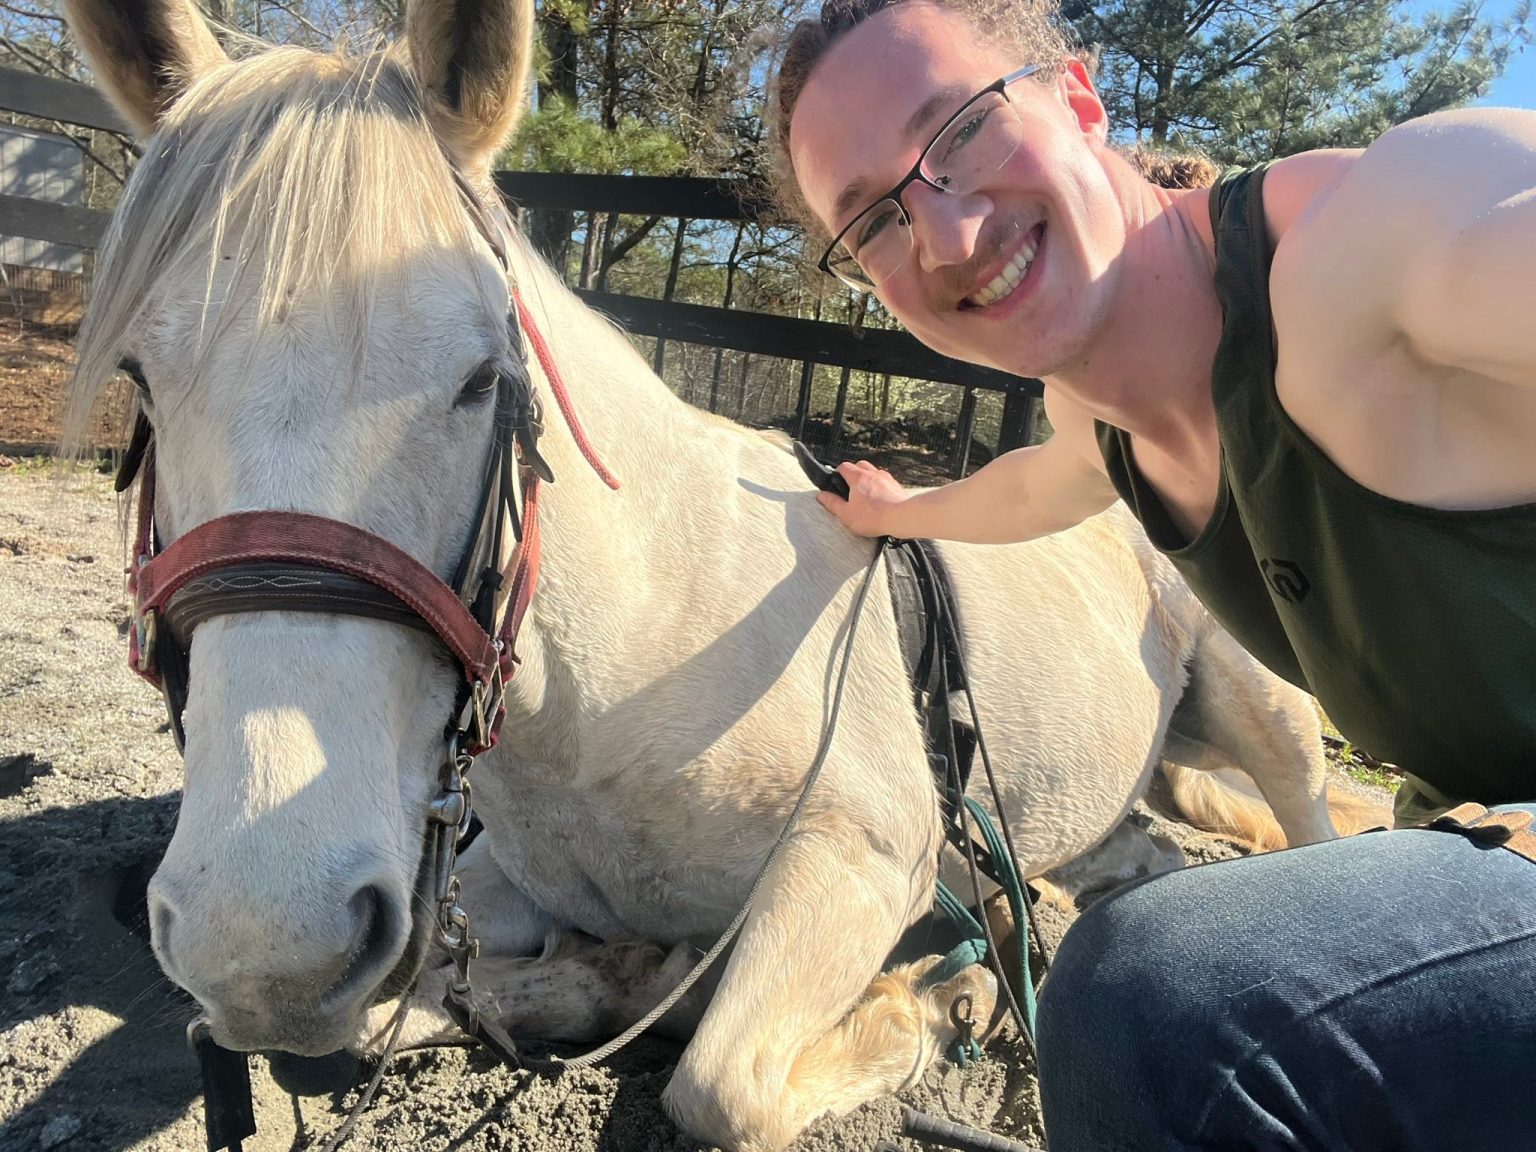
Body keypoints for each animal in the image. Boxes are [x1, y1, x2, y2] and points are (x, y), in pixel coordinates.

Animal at [61, 0, 1347, 1147]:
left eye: (482, 377)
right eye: (139, 381)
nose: (262, 947)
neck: (628, 665)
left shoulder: (861, 856)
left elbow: (722, 1085)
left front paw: (940, 999)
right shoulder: (482, 891)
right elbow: (398, 1009)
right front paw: (624, 973)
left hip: (1266, 710)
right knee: (1135, 855)